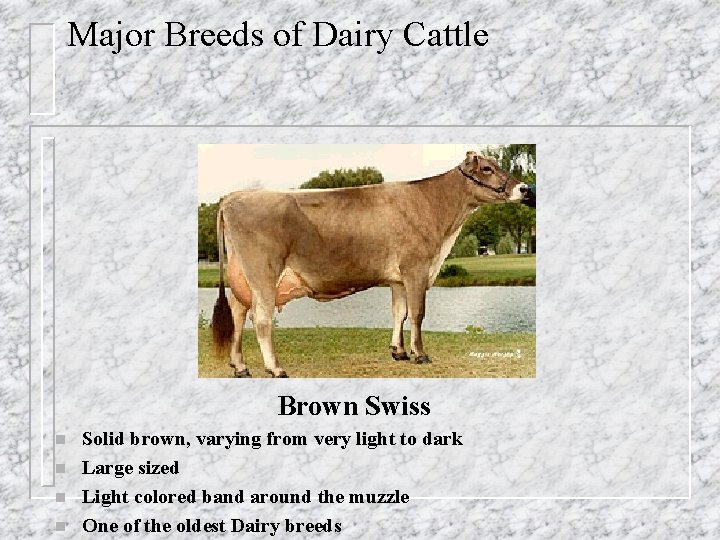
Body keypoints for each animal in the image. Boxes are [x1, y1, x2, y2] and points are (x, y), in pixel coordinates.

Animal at [211, 151, 532, 378]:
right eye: (487, 169)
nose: (525, 189)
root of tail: (233, 196)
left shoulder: (397, 278)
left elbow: (399, 313)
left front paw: (398, 352)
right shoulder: (416, 269)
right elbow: (417, 314)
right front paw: (420, 354)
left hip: (242, 275)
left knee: (238, 312)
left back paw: (240, 366)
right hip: (263, 273)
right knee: (261, 319)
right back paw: (275, 368)